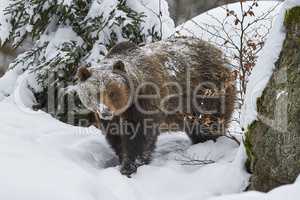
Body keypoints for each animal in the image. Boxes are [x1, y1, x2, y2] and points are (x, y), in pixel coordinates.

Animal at [76, 36, 236, 176]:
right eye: (93, 94)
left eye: (112, 92)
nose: (106, 111)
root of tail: (219, 53)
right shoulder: (113, 118)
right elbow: (115, 136)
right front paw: (123, 160)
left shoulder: (146, 101)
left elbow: (140, 135)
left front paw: (132, 165)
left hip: (207, 92)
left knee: (210, 123)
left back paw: (209, 143)